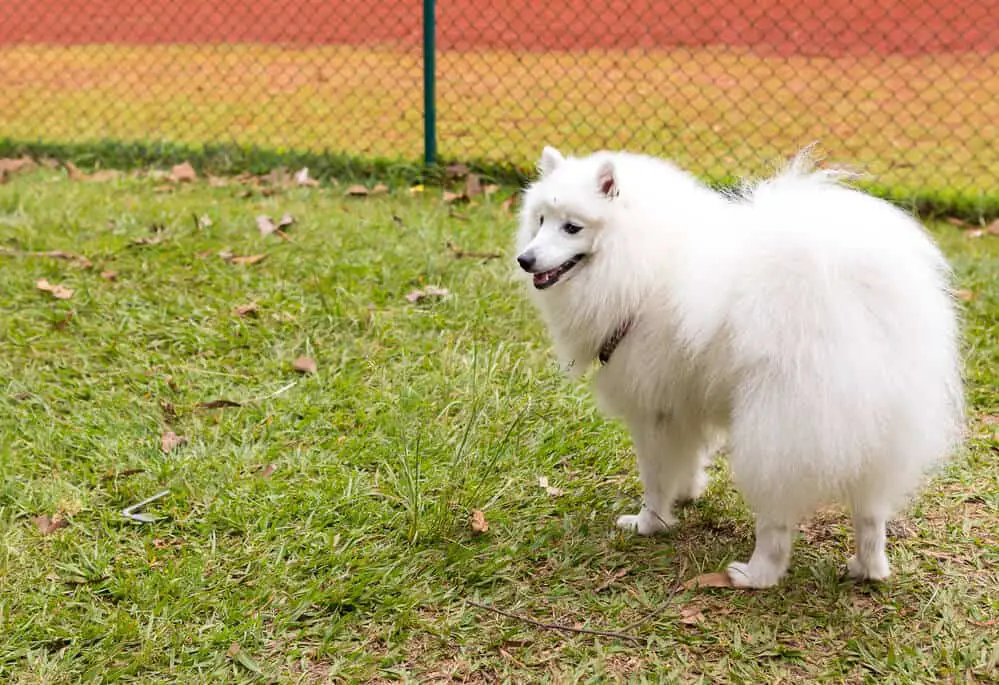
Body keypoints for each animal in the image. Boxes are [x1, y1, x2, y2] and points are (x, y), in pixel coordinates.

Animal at [516, 147, 960, 584]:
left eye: (572, 228)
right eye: (541, 220)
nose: (525, 259)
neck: (638, 259)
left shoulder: (651, 411)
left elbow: (655, 477)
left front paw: (650, 523)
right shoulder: (682, 403)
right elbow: (688, 457)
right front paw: (687, 493)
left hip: (777, 428)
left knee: (777, 520)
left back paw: (756, 574)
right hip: (881, 431)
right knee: (870, 512)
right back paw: (867, 569)